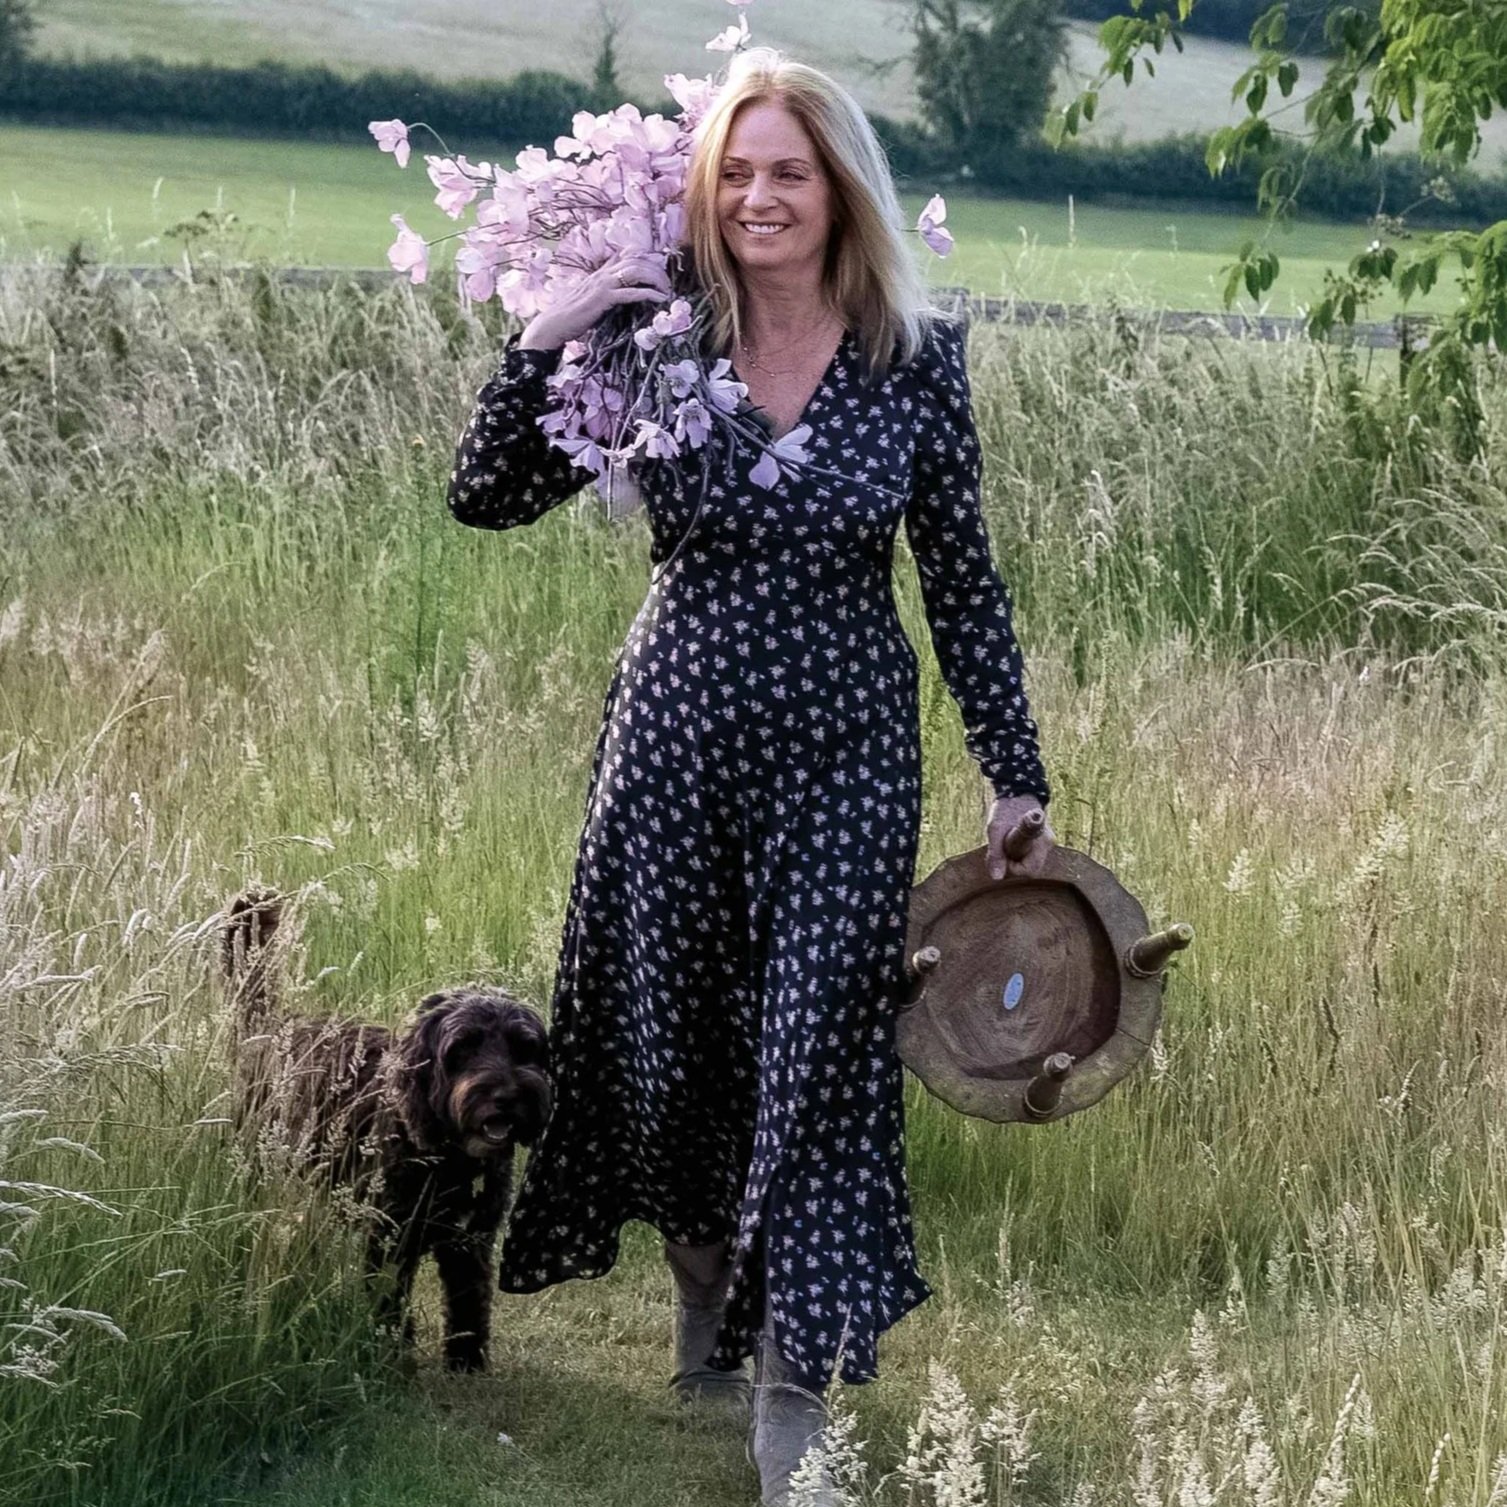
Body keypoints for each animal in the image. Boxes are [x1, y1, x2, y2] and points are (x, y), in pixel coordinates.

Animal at [220, 889, 551, 1371]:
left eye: (524, 1047)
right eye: (463, 1048)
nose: (507, 1095)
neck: (447, 1157)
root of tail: (269, 1025)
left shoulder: (470, 1240)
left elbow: (469, 1300)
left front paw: (467, 1359)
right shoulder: (389, 1239)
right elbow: (390, 1302)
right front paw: (391, 1355)